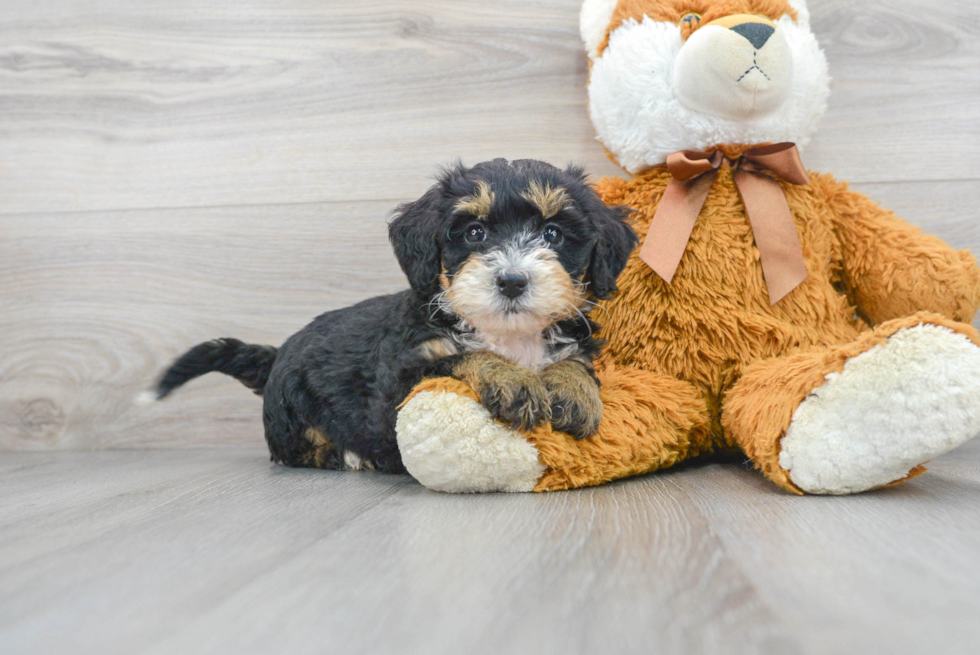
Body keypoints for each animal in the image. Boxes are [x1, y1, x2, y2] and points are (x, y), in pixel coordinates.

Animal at [149, 160, 632, 476]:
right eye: (474, 232)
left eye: (553, 233)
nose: (512, 280)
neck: (506, 335)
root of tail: (276, 355)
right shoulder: (401, 378)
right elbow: (460, 358)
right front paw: (511, 378)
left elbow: (575, 361)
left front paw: (574, 389)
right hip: (290, 412)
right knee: (294, 450)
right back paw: (348, 456)